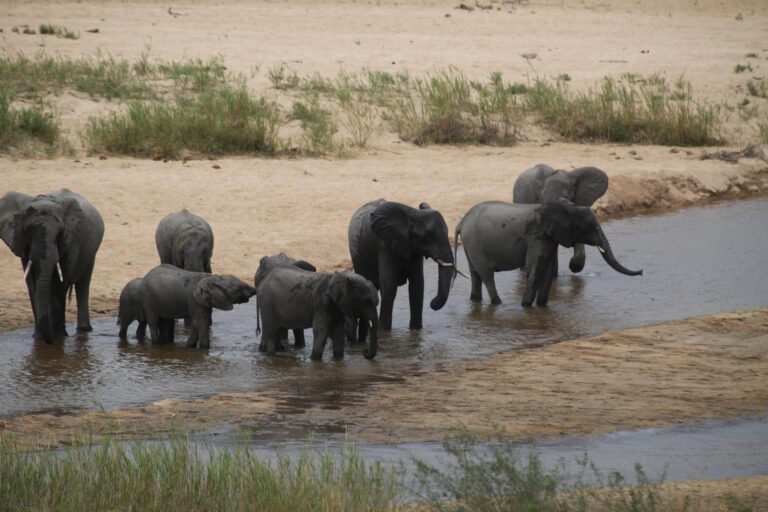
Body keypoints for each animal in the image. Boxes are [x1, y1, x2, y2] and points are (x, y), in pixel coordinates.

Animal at [0, 189, 104, 343]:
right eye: (27, 230)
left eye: (60, 232)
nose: (48, 340)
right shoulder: (22, 242)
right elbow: (32, 284)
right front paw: (38, 337)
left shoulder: (72, 240)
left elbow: (62, 283)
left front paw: (59, 336)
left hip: (91, 252)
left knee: (83, 284)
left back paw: (84, 330)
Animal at [347, 199, 456, 341]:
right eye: (427, 235)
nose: (432, 303)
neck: (413, 215)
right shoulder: (385, 245)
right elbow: (389, 286)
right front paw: (384, 332)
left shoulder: (414, 250)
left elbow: (417, 286)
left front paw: (416, 330)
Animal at [455, 199, 642, 307]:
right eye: (589, 227)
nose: (641, 271)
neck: (563, 208)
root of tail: (461, 222)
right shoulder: (536, 235)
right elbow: (535, 269)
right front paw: (526, 306)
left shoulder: (550, 238)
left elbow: (548, 269)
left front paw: (541, 307)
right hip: (475, 242)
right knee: (487, 274)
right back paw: (498, 304)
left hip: (471, 244)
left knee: (475, 274)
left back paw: (476, 301)